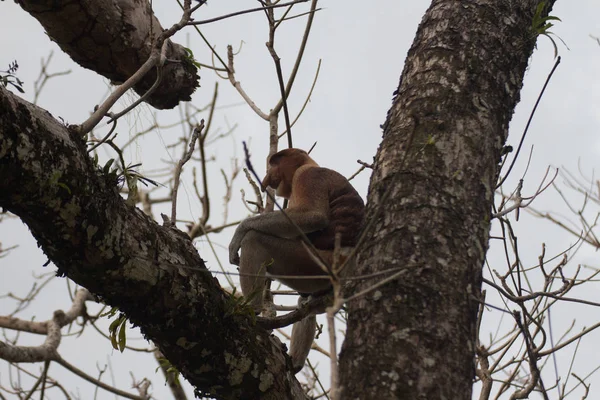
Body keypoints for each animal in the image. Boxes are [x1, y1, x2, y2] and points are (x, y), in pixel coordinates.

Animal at [229, 148, 360, 374]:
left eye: (274, 163)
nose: (267, 179)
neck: (312, 164)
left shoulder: (307, 176)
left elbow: (312, 216)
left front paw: (240, 231)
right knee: (306, 305)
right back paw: (295, 364)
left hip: (316, 263)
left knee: (255, 240)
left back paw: (251, 310)